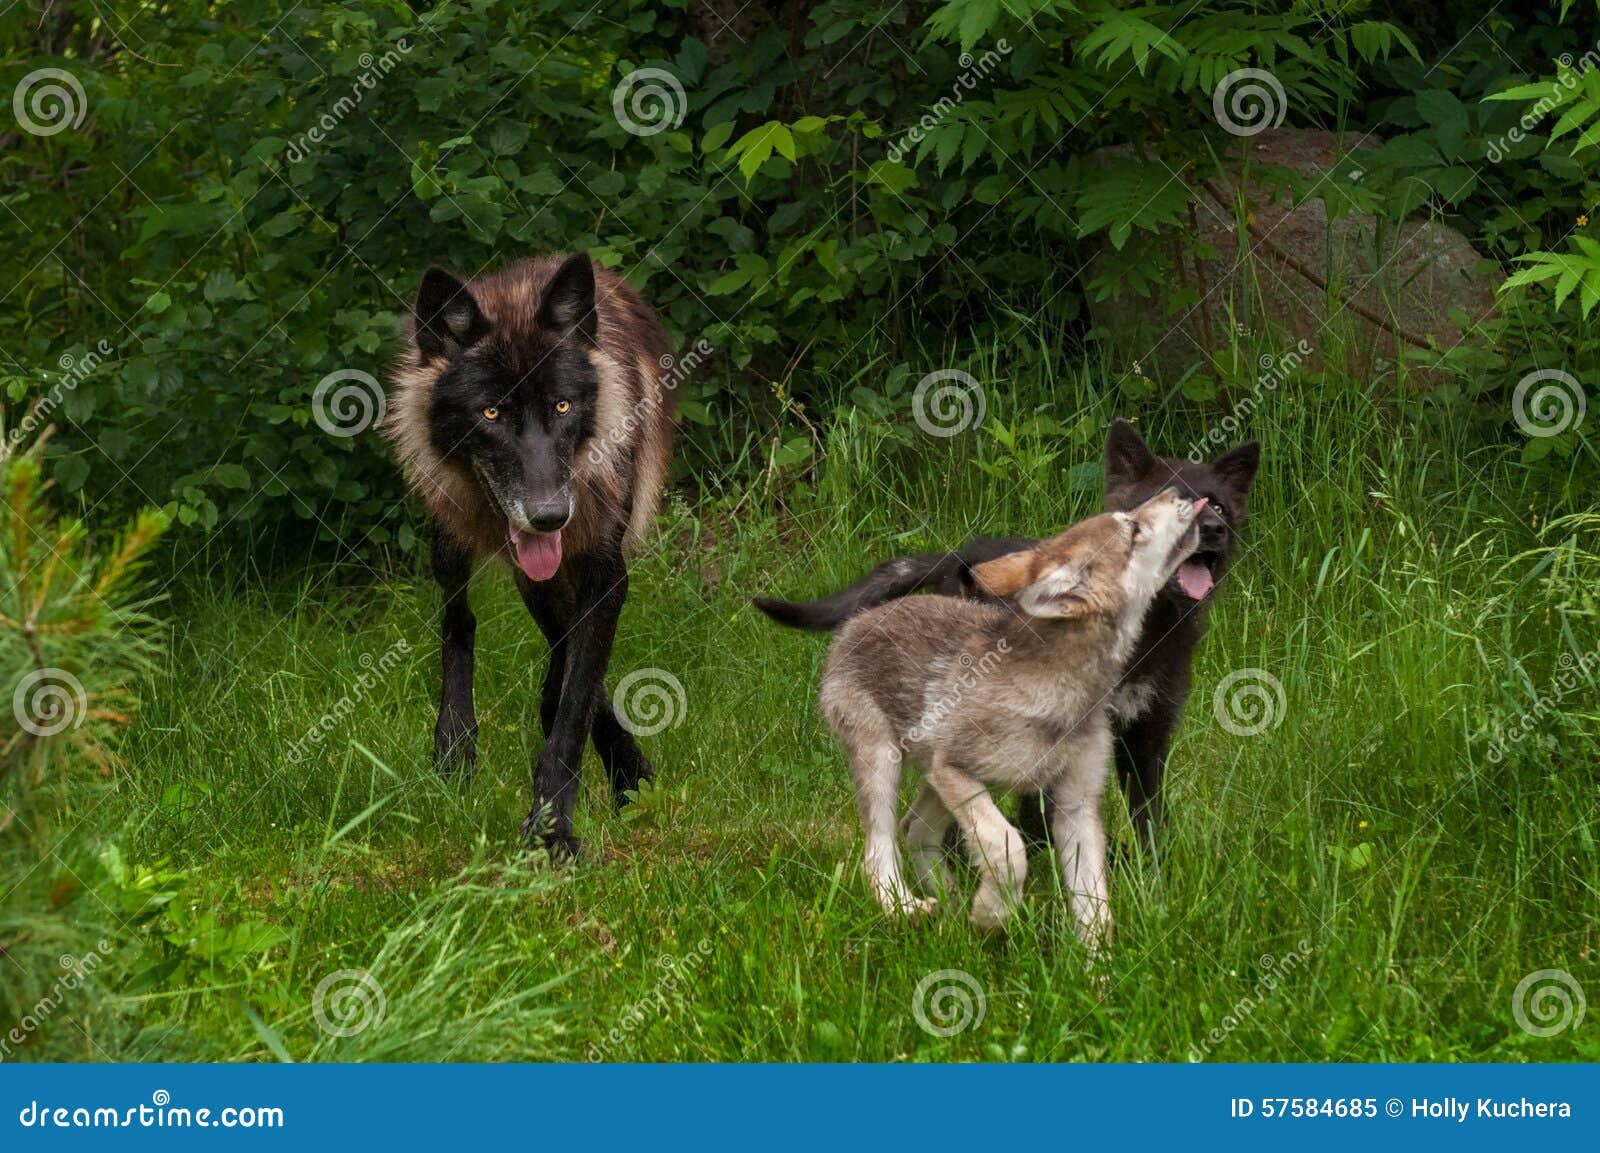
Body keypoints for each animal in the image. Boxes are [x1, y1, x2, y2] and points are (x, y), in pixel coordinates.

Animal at [385, 252, 676, 857]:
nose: (548, 516)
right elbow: (572, 679)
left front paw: (563, 818)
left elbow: (576, 695)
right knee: (458, 618)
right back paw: (455, 745)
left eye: (562, 406)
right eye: (491, 414)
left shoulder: (604, 572)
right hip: (447, 540)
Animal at [757, 420, 1259, 852]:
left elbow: (1150, 818)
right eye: (1161, 507)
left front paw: (1152, 878)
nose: (1213, 530)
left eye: (1217, 504)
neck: (1148, 637)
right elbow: (1040, 812)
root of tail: (956, 554)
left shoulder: (1149, 737)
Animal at [819, 490, 1207, 945]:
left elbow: (1095, 908)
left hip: (938, 776)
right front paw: (993, 914)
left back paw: (952, 906)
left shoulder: (1076, 806)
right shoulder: (956, 770)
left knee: (916, 829)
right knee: (878, 847)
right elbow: (1009, 847)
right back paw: (905, 908)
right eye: (1132, 528)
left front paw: (1095, 965)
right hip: (885, 764)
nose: (1179, 492)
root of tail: (857, 621)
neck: (1065, 687)